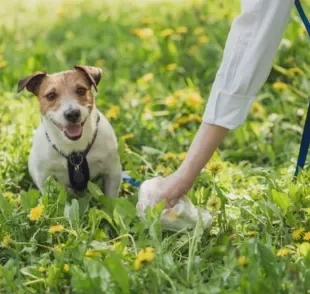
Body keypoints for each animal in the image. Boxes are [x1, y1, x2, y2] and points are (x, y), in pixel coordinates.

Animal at [16, 65, 121, 196]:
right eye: (51, 95)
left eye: (81, 90)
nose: (72, 114)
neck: (74, 148)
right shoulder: (44, 178)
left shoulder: (113, 172)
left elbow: (111, 198)